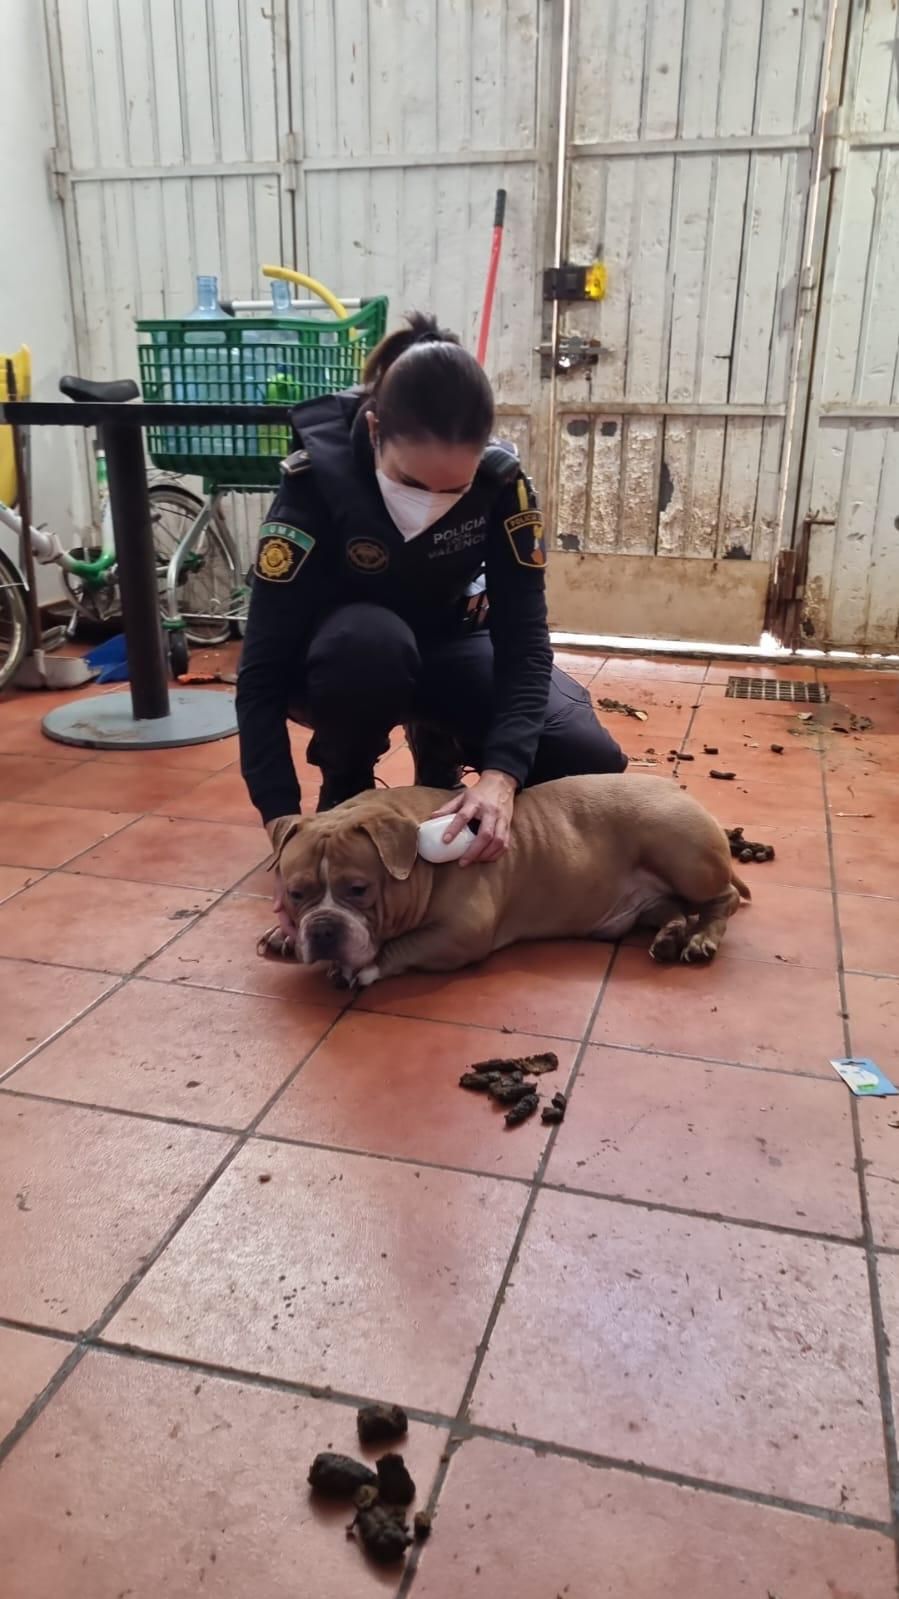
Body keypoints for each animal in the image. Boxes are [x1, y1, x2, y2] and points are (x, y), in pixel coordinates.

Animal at [262, 773, 745, 984]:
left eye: (359, 890)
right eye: (296, 893)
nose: (323, 930)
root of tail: (676, 788)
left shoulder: (462, 933)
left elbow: (401, 946)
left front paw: (360, 967)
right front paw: (285, 933)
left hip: (680, 850)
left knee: (723, 899)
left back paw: (702, 938)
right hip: (648, 896)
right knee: (671, 906)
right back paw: (670, 934)